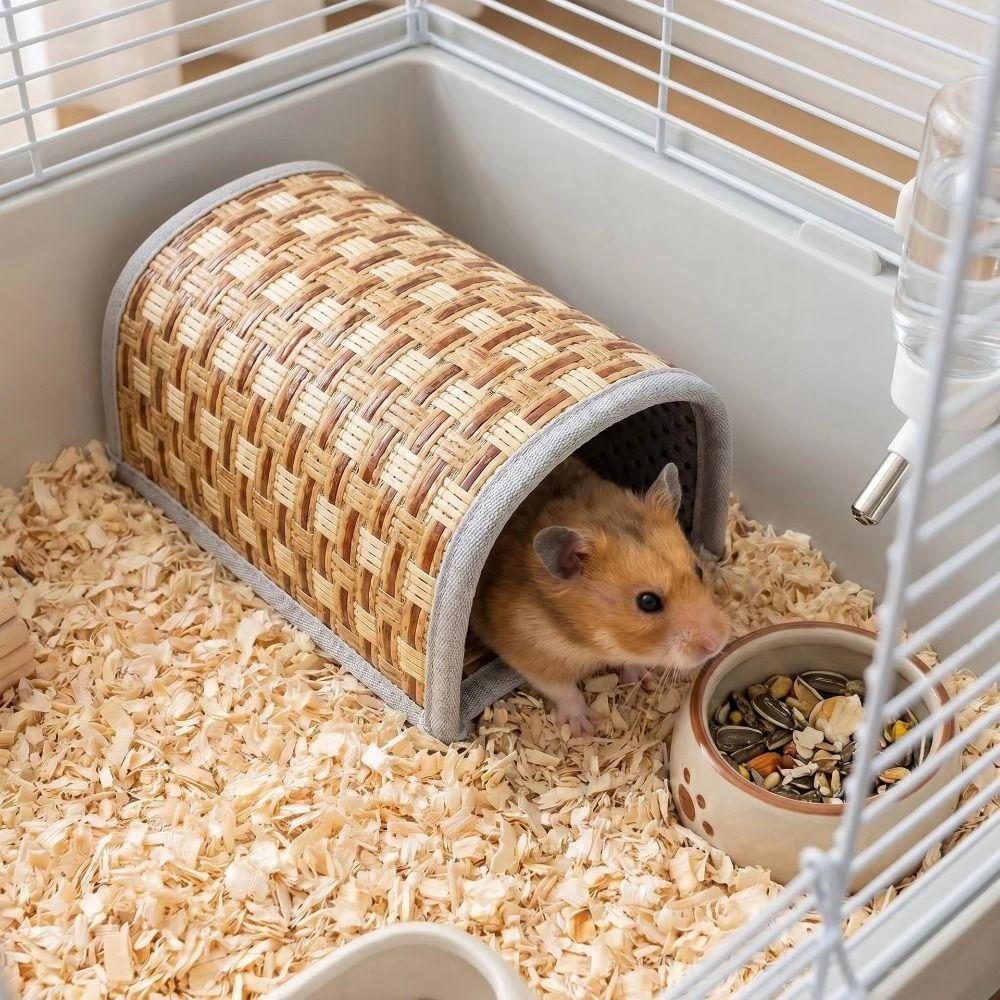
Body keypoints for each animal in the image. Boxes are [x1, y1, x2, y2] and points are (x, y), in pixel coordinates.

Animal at [471, 457, 730, 735]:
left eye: (698, 570)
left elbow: (631, 662)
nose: (716, 644)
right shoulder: (527, 648)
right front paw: (584, 730)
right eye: (647, 602)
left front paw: (645, 680)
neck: (593, 642)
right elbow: (563, 689)